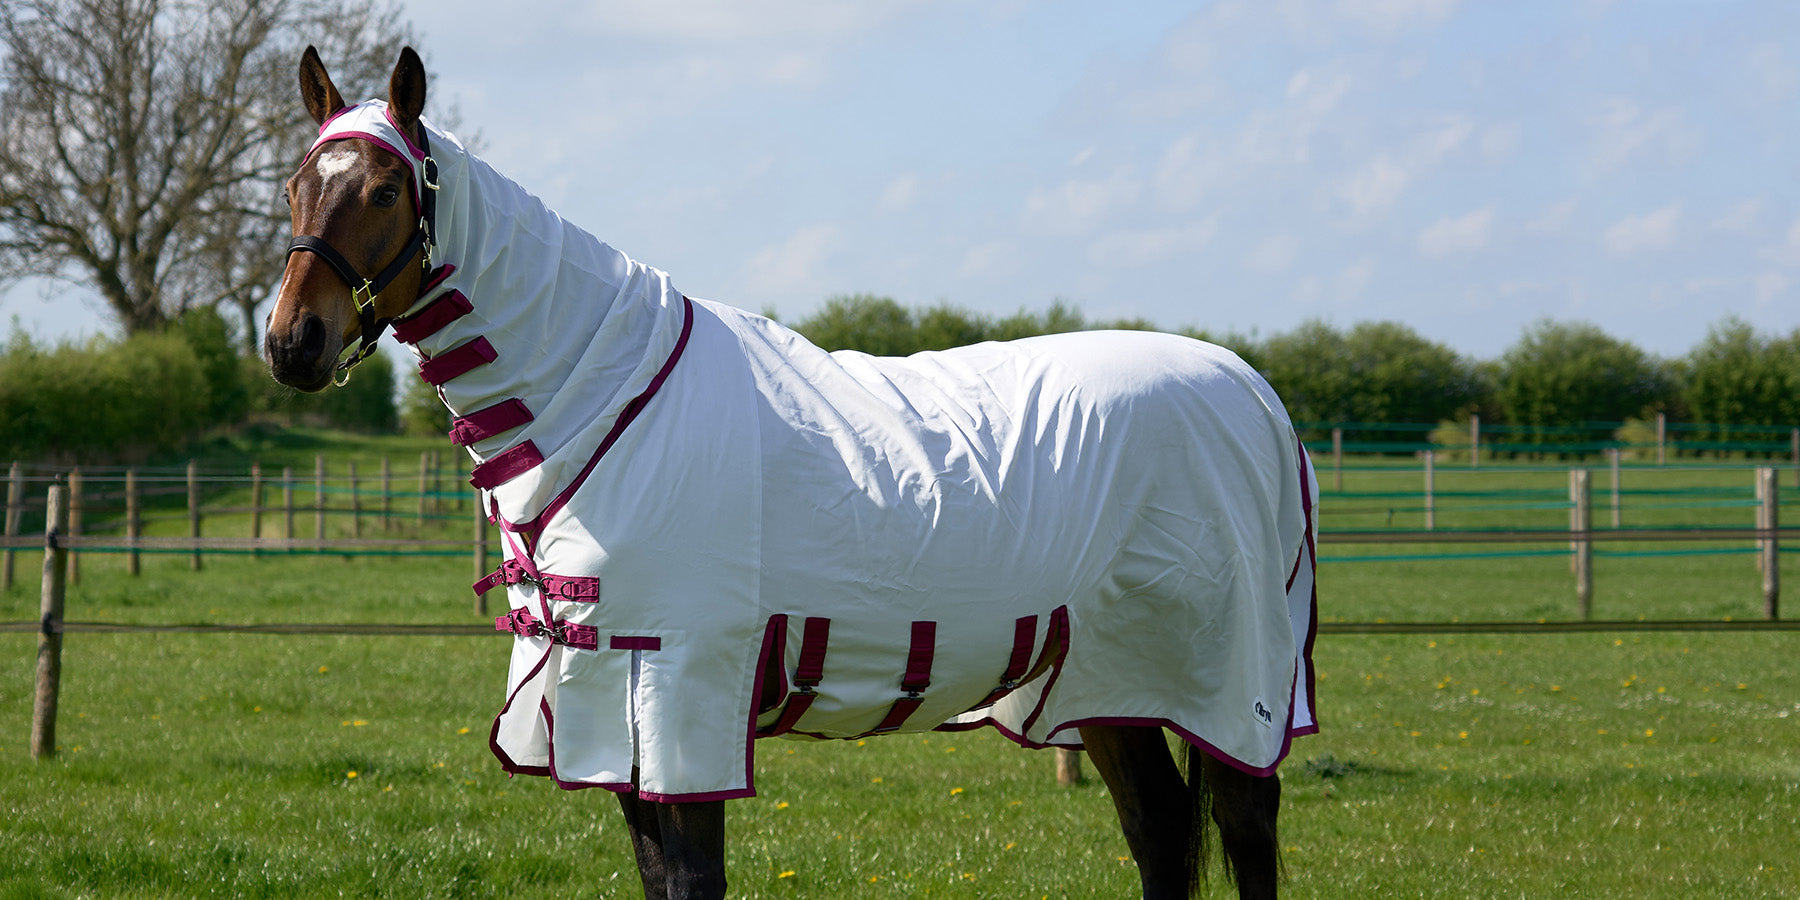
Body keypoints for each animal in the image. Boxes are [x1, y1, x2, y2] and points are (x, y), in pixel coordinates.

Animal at [265, 46, 1317, 900]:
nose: (291, 344)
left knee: (1242, 833)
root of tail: (1254, 394)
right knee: (1160, 832)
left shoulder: (678, 696)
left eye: (387, 192)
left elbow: (693, 880)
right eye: (293, 188)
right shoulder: (614, 710)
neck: (603, 398)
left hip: (1222, 683)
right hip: (1110, 683)